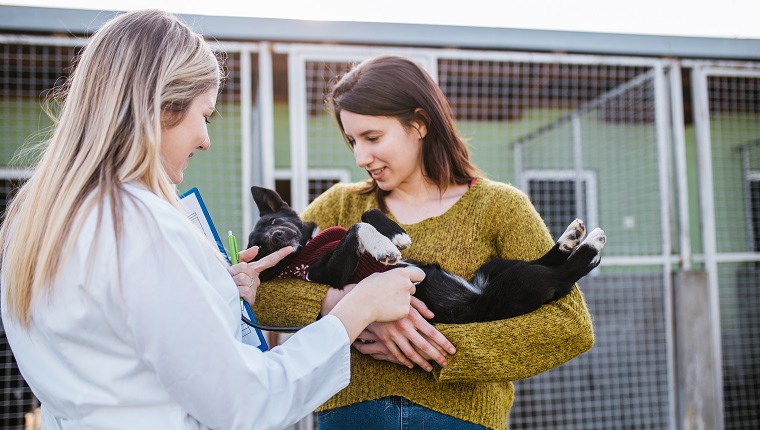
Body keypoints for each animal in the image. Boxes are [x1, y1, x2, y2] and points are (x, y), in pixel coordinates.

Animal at [249, 186, 604, 324]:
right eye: (259, 247)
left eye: (274, 222)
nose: (277, 237)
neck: (309, 247)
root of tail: (479, 294)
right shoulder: (331, 276)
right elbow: (356, 227)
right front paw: (385, 248)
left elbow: (366, 214)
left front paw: (397, 236)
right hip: (516, 286)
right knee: (561, 274)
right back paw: (589, 246)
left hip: (496, 268)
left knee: (545, 261)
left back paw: (570, 238)